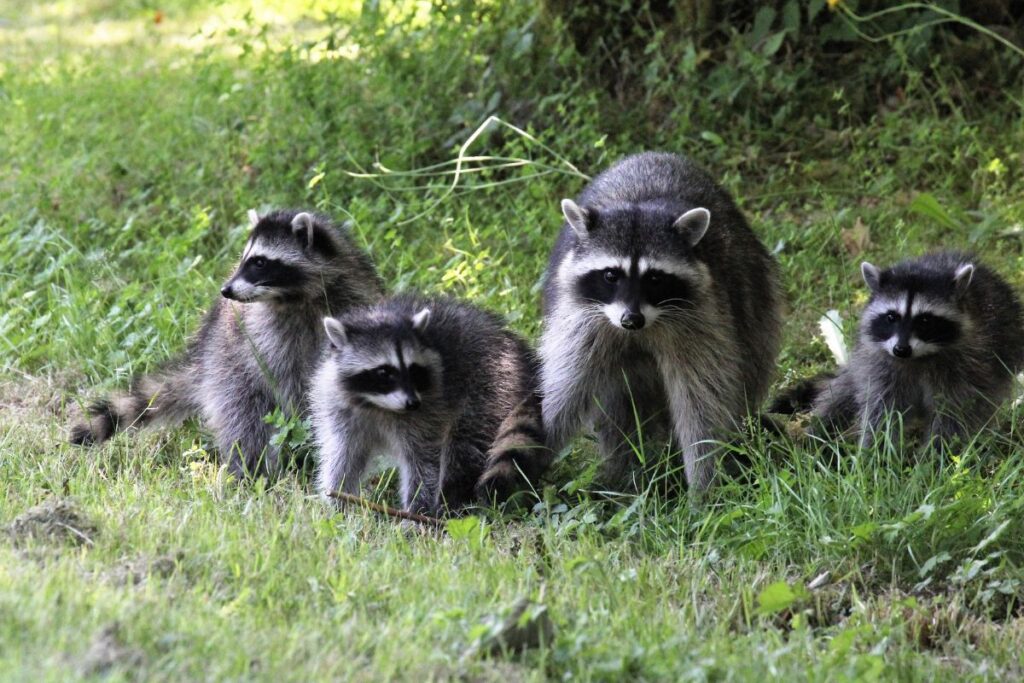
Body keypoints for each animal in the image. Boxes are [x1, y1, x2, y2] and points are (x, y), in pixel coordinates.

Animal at [70, 209, 384, 477]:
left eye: (260, 262)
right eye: (243, 258)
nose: (226, 290)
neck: (294, 297)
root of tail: (203, 361)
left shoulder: (351, 295)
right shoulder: (265, 335)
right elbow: (283, 380)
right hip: (230, 369)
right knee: (245, 419)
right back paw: (250, 470)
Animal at [310, 295, 546, 515]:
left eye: (413, 370)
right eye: (384, 372)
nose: (412, 403)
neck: (376, 404)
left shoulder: (429, 411)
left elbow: (424, 462)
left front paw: (417, 511)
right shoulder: (339, 409)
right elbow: (343, 456)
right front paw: (337, 504)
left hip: (491, 385)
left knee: (463, 446)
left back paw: (452, 499)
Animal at [539, 152, 783, 492]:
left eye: (654, 278)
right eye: (611, 275)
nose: (631, 320)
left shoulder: (702, 317)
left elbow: (703, 399)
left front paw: (704, 483)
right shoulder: (581, 319)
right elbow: (566, 390)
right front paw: (528, 455)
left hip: (757, 293)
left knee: (749, 362)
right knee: (617, 403)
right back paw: (623, 472)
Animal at [779, 252, 1024, 448]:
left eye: (925, 320)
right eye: (891, 317)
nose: (901, 349)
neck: (917, 358)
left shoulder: (970, 364)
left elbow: (955, 414)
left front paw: (934, 457)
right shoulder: (879, 364)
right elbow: (883, 409)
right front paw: (877, 452)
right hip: (861, 361)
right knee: (842, 391)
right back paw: (820, 430)